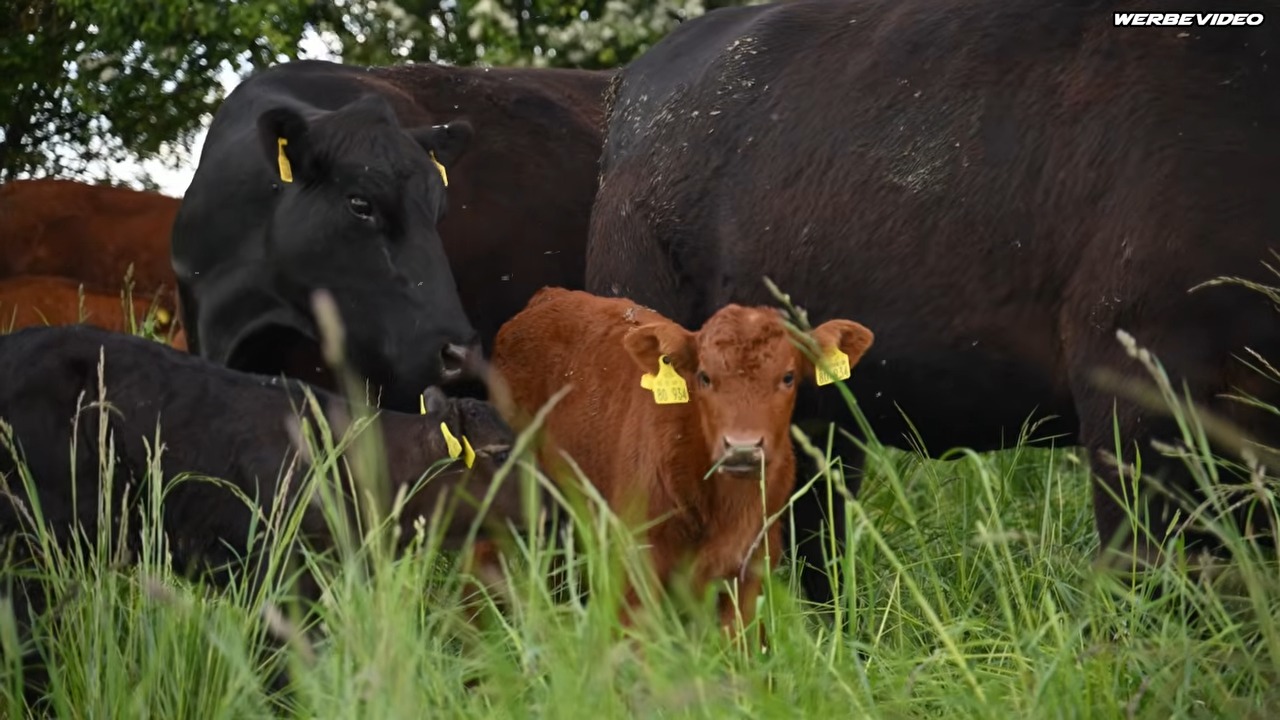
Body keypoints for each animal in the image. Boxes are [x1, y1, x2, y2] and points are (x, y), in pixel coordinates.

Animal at [487, 287, 873, 636]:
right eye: (705, 377)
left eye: (788, 377)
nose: (742, 447)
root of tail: (548, 296)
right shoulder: (637, 560)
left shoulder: (750, 567)